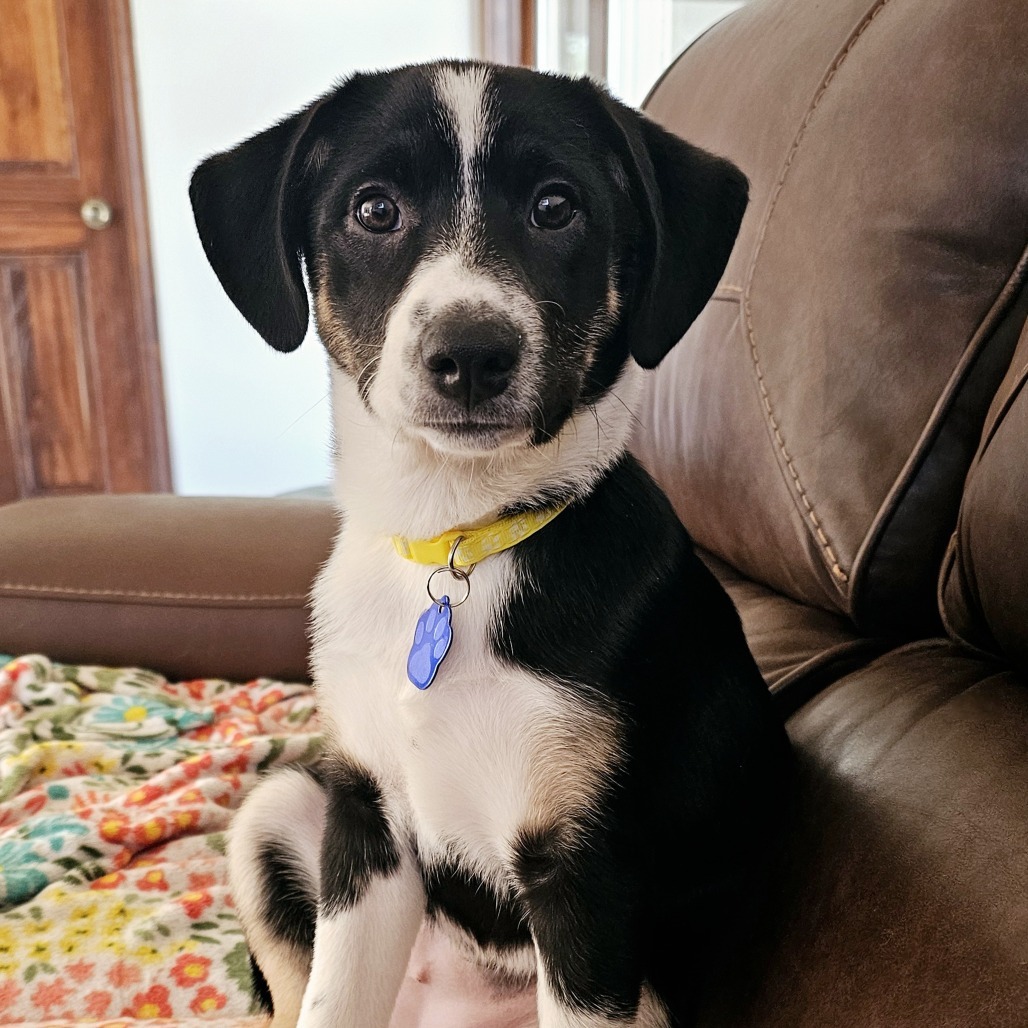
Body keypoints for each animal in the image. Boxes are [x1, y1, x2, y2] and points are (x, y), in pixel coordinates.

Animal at [189, 58, 789, 1028]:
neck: (458, 538)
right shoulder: (368, 823)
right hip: (278, 809)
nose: (470, 354)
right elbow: (332, 998)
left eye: (556, 207)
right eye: (374, 209)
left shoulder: (586, 878)